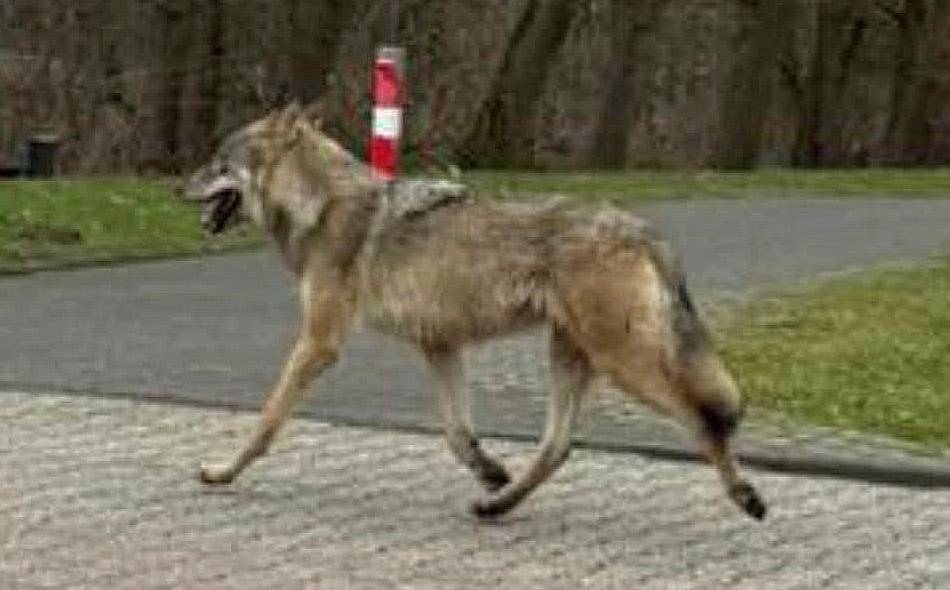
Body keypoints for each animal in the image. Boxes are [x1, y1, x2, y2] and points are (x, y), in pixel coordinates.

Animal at [183, 103, 766, 520]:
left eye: (217, 161)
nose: (176, 185)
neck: (321, 206)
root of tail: (645, 231)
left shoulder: (319, 343)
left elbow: (267, 420)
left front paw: (222, 473)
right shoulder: (440, 346)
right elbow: (457, 435)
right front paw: (490, 473)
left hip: (625, 364)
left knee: (706, 419)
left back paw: (745, 494)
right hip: (572, 359)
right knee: (558, 447)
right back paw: (497, 504)